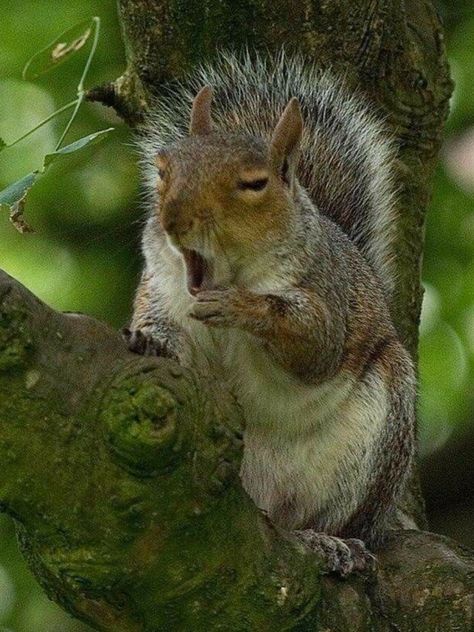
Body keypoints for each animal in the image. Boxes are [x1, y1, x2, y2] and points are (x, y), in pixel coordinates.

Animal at [125, 51, 414, 576]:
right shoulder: (158, 287)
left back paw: (329, 541)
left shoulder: (326, 292)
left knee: (332, 519)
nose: (173, 220)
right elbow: (165, 335)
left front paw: (241, 306)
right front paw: (151, 342)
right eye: (162, 171)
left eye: (254, 183)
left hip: (377, 443)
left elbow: (315, 347)